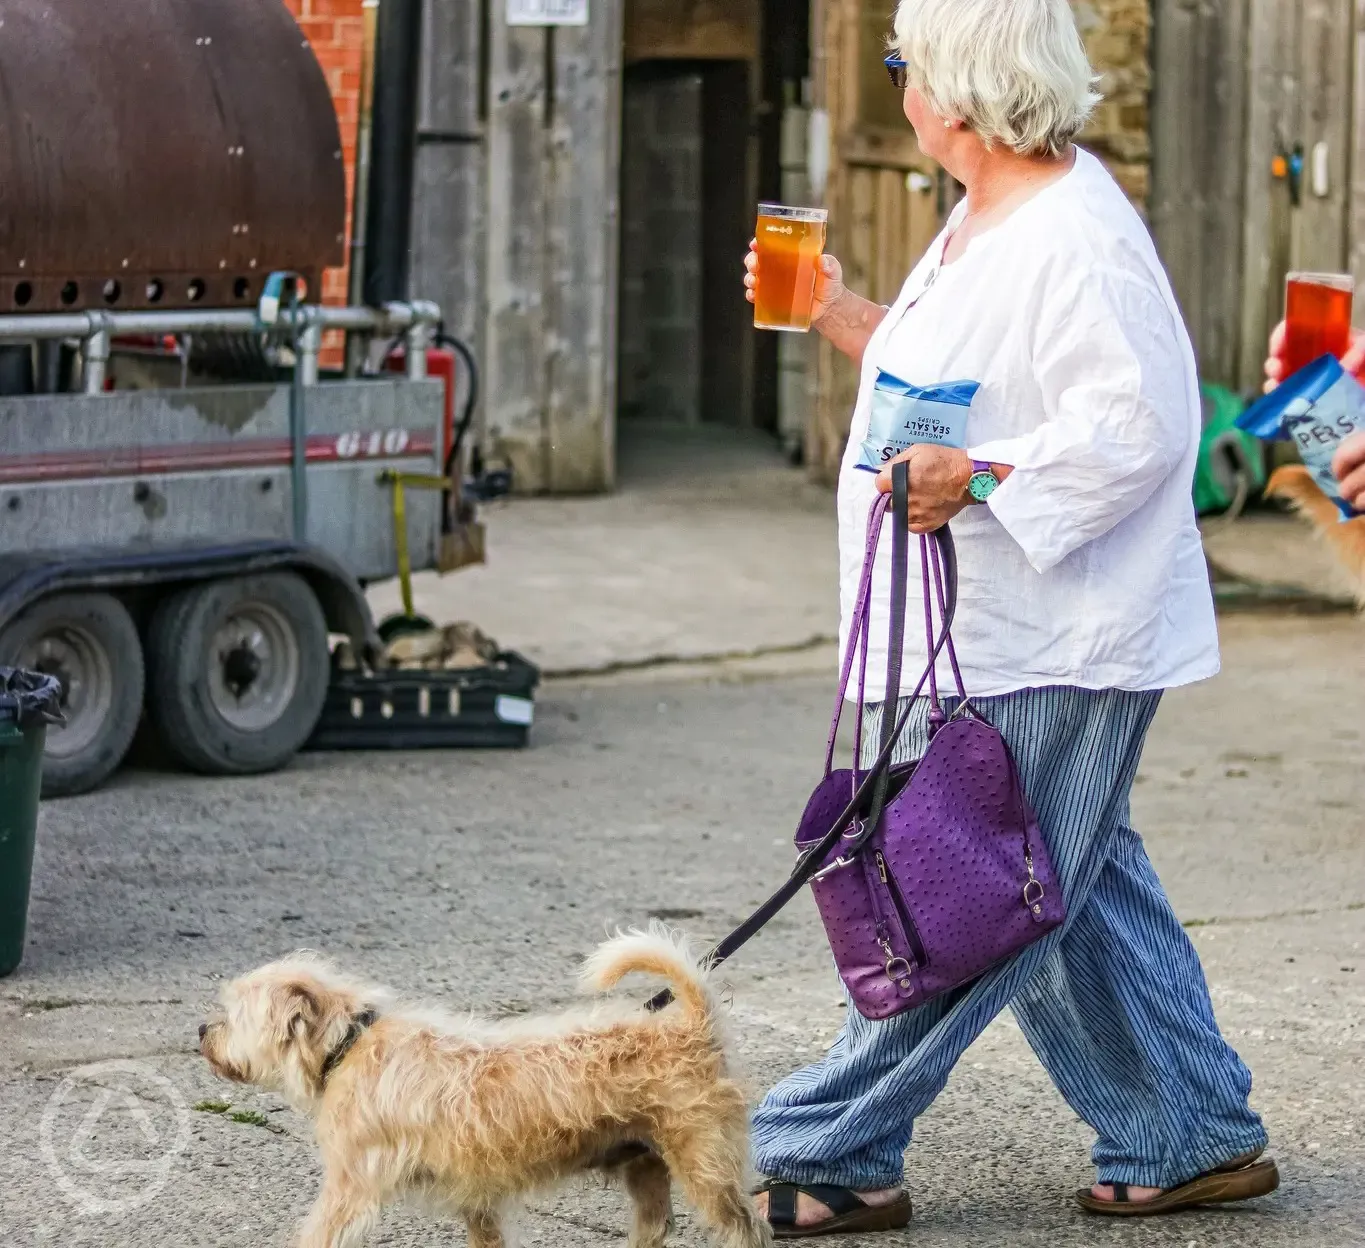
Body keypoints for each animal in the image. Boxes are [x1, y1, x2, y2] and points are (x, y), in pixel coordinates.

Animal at [197, 928, 769, 1245]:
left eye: (231, 1015)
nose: (201, 1030)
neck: (348, 1046)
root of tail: (690, 1025)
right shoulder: (478, 1199)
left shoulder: (349, 1189)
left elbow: (317, 1234)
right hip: (645, 1166)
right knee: (655, 1227)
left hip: (706, 1171)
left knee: (746, 1229)